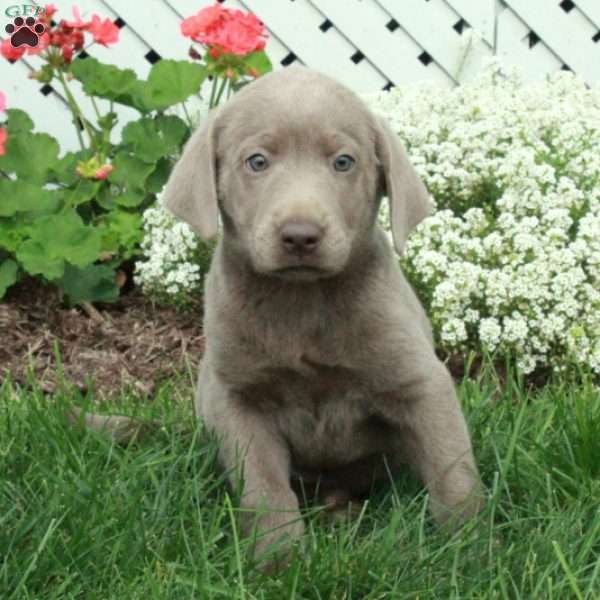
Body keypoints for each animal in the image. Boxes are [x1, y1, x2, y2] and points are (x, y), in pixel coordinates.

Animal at [162, 65, 480, 556]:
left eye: (343, 162)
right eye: (257, 162)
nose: (300, 235)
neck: (303, 300)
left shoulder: (422, 383)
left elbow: (453, 470)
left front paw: (469, 548)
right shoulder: (236, 398)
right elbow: (264, 486)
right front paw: (280, 558)